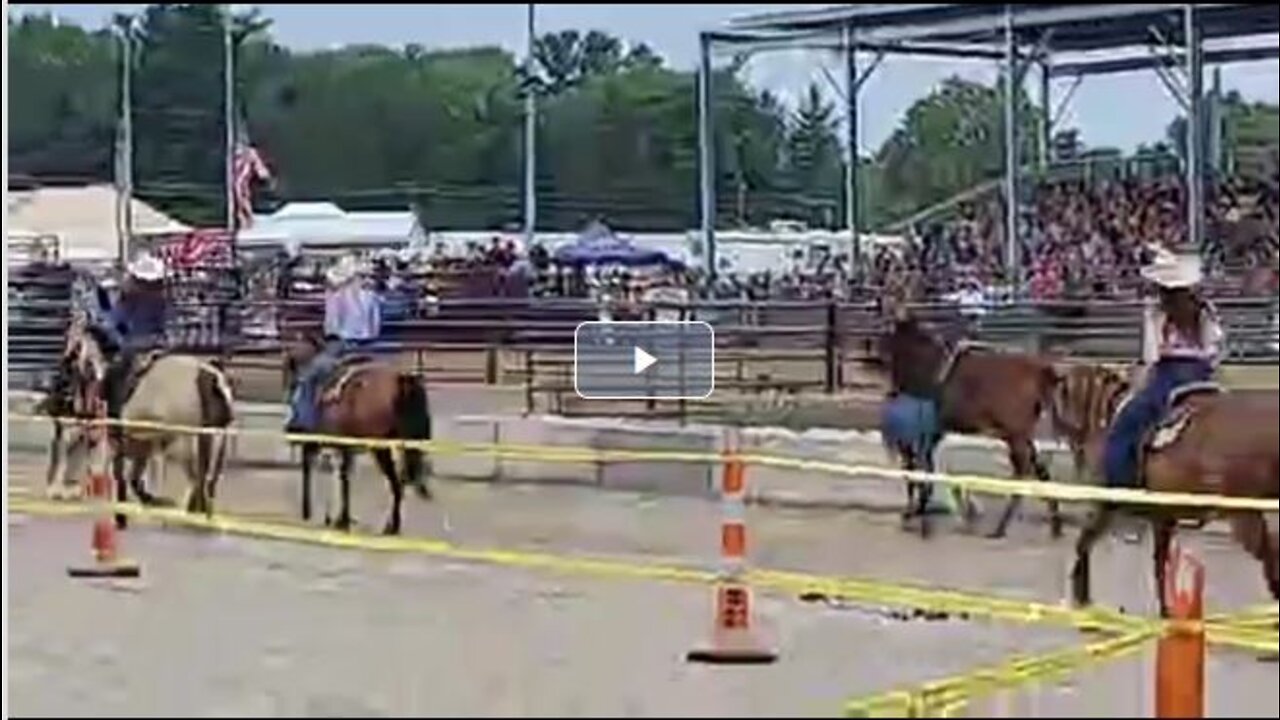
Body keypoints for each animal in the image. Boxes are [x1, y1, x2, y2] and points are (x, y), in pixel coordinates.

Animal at [46, 313, 235, 515]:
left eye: (72, 353)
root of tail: (205, 374)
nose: (54, 399)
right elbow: (132, 477)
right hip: (212, 441)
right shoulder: (139, 446)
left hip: (183, 444)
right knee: (205, 479)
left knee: (198, 480)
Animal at [281, 330, 435, 532]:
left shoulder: (324, 442)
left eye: (290, 363)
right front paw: (339, 518)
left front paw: (331, 518)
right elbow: (342, 478)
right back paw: (392, 525)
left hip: (380, 448)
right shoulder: (344, 448)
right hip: (401, 446)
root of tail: (402, 381)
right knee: (400, 481)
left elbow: (329, 475)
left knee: (396, 481)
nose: (289, 386)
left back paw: (390, 525)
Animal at [870, 304, 1070, 535]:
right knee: (1040, 467)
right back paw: (1055, 523)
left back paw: (1000, 527)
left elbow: (918, 468)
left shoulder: (921, 431)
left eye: (886, 326)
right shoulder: (934, 432)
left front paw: (914, 512)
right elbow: (925, 467)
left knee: (1024, 469)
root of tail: (1043, 372)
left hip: (1015, 435)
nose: (873, 348)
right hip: (1022, 435)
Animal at [1049, 361, 1280, 614]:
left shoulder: (1104, 506)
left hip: (1243, 515)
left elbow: (1083, 543)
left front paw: (1081, 597)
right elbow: (1160, 563)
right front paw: (1165, 610)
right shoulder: (1162, 515)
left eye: (1060, 394)